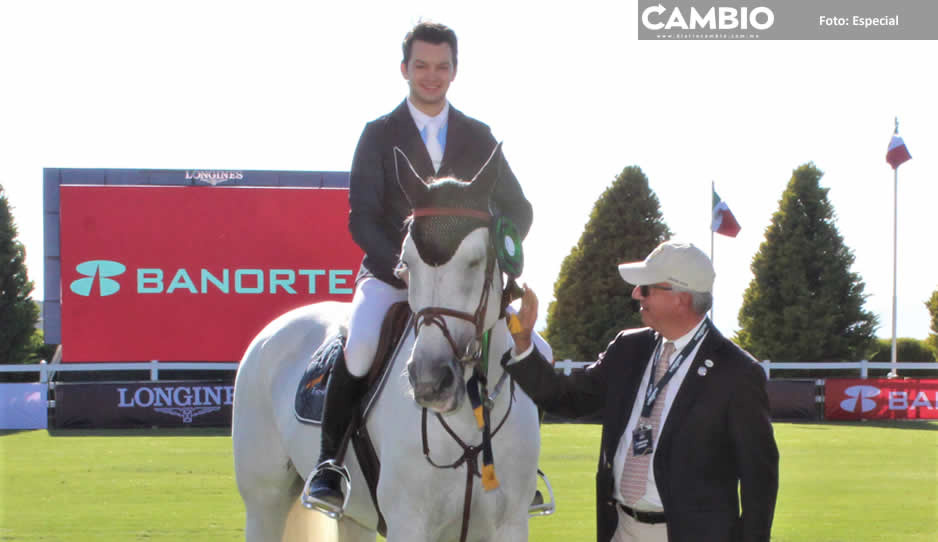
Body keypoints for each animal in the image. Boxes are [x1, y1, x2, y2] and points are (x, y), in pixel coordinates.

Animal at [231, 148, 540, 542]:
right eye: (406, 262)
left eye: (476, 261)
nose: (430, 381)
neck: (471, 416)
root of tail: (270, 332)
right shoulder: (408, 522)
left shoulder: (509, 524)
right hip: (264, 502)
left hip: (353, 519)